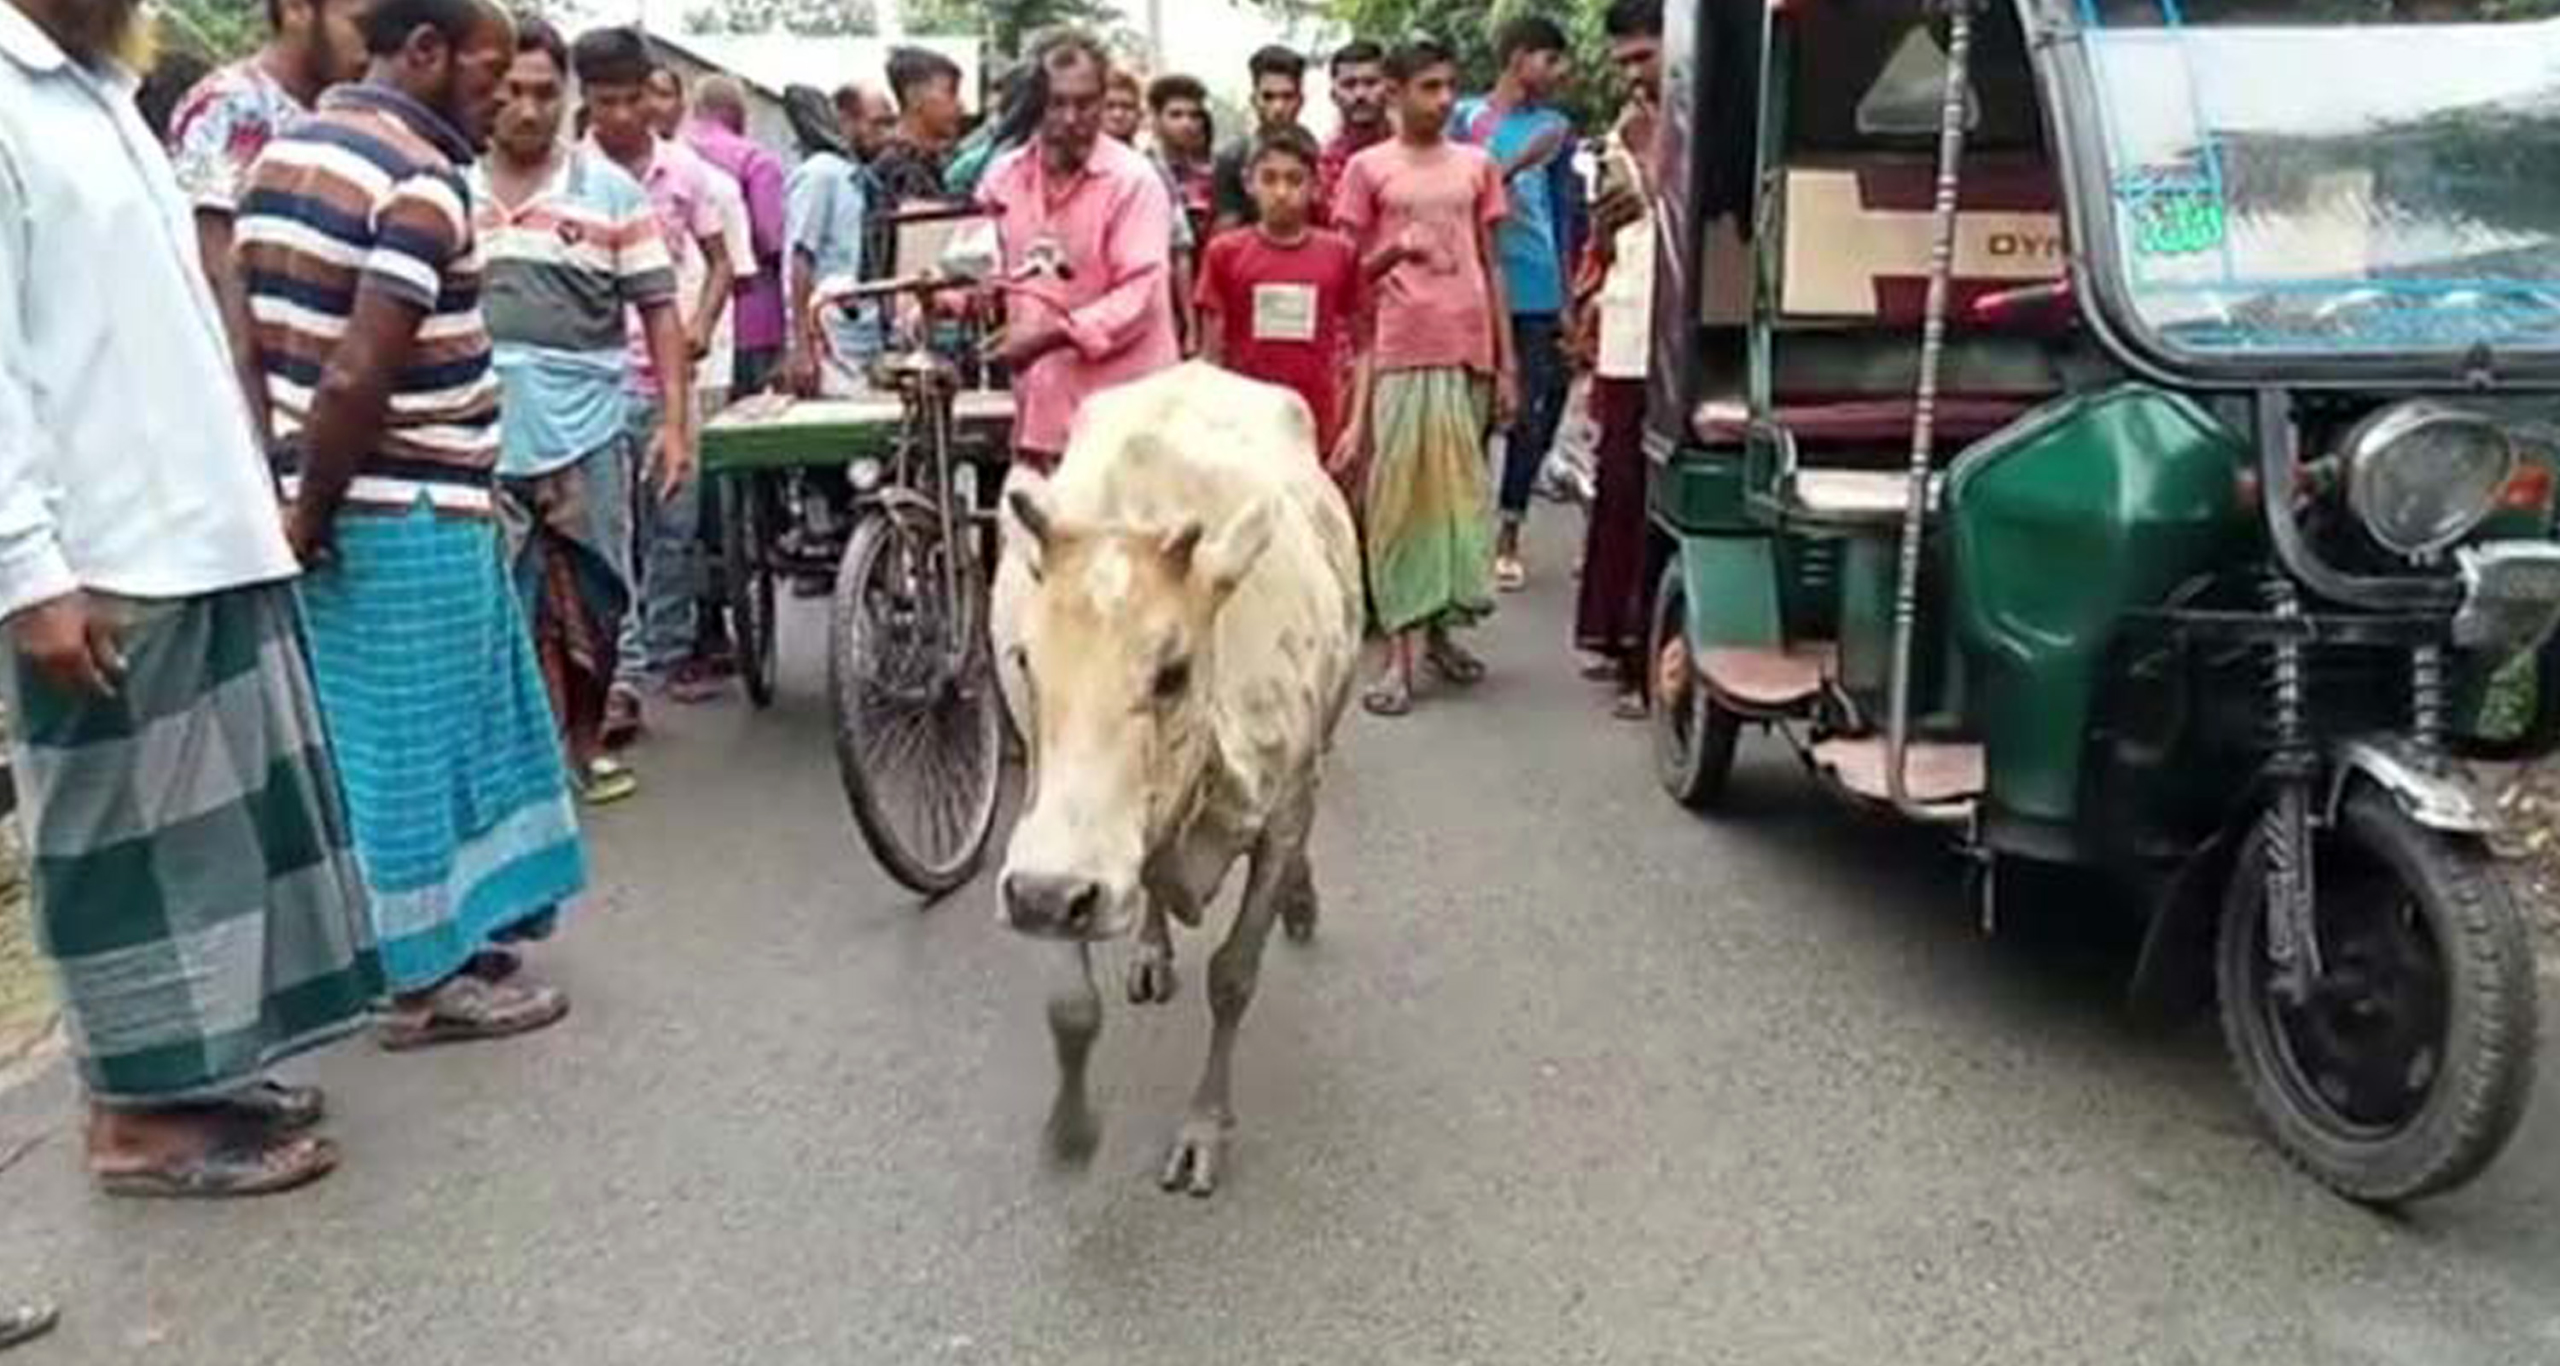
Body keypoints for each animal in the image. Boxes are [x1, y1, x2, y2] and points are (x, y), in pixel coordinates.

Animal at [988, 360, 1372, 1197]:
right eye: (1026, 660)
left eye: (1172, 672)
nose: (1043, 897)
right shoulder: (1053, 839)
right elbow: (1071, 1005)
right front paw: (1070, 1131)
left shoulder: (1284, 811)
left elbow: (1233, 977)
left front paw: (1203, 1130)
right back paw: (1151, 949)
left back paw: (1301, 899)